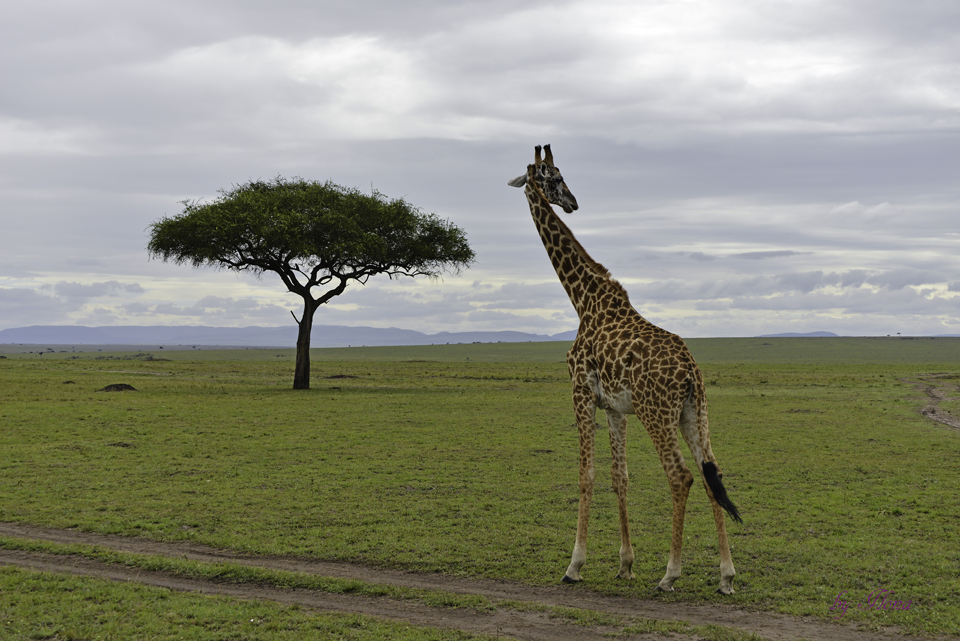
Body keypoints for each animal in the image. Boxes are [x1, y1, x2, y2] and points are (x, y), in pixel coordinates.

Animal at [510, 142, 744, 592]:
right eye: (553, 177)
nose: (572, 202)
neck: (583, 299)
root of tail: (691, 372)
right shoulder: (615, 408)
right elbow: (620, 477)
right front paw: (625, 564)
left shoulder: (581, 392)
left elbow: (586, 475)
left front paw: (574, 566)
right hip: (694, 413)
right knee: (712, 475)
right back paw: (725, 574)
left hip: (657, 414)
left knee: (681, 476)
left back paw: (670, 573)